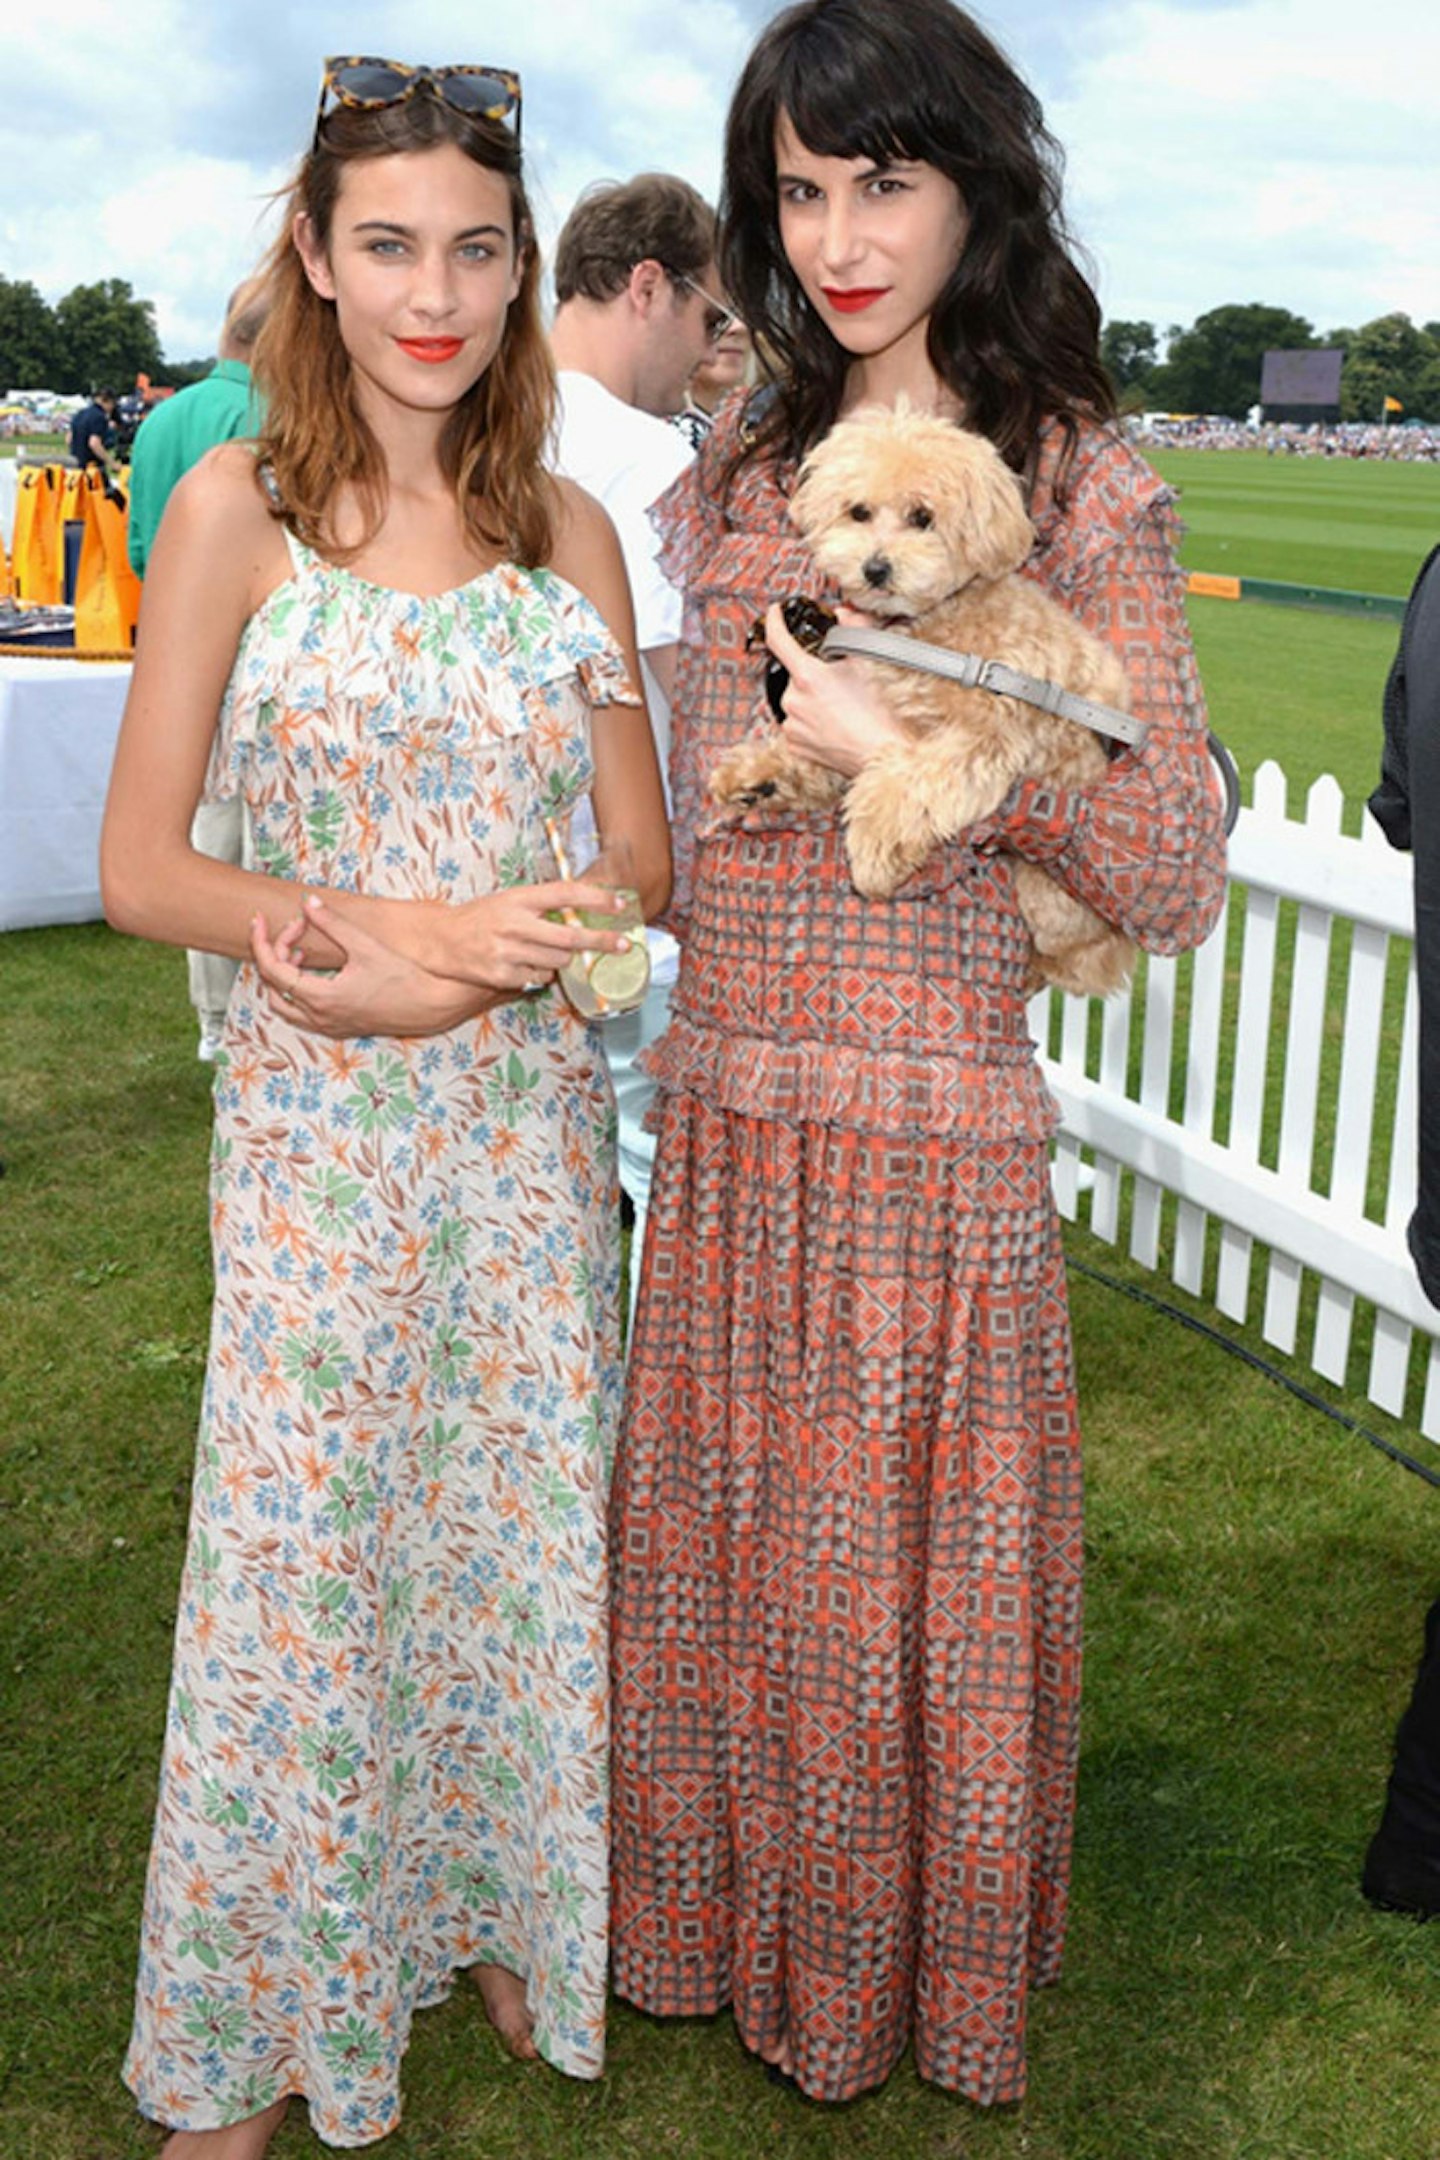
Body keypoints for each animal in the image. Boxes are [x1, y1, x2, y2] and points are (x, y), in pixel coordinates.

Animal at [716, 408, 1139, 997]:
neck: (923, 632)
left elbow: (907, 785)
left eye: (923, 518)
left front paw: (872, 856)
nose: (875, 569)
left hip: (1051, 905)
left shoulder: (981, 738)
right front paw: (760, 775)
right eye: (859, 511)